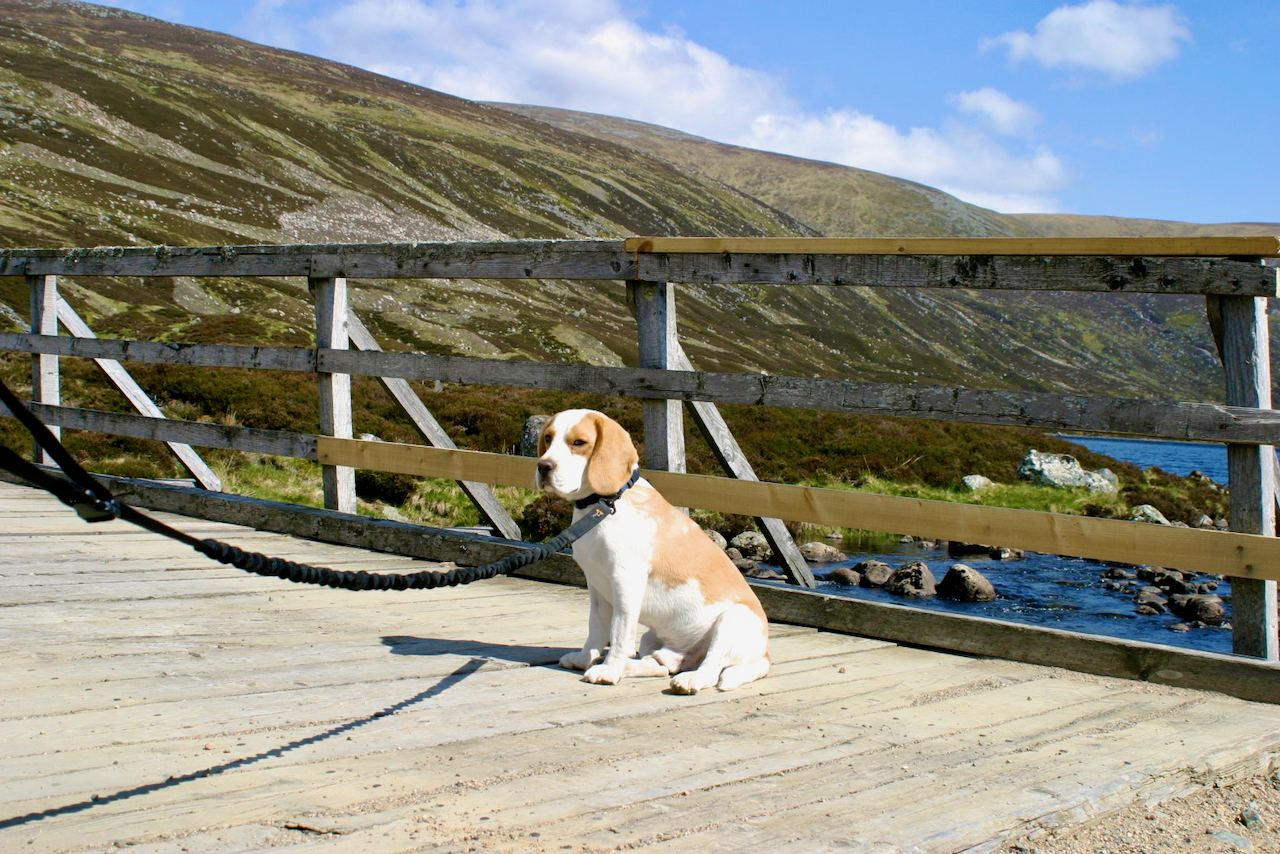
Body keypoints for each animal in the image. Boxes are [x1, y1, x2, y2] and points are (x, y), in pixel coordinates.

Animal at [535, 409, 770, 694]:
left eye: (579, 442)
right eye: (548, 438)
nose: (543, 466)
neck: (602, 505)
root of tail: (765, 655)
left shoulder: (625, 583)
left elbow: (618, 632)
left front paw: (609, 671)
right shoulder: (596, 586)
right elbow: (596, 627)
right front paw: (584, 659)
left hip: (731, 621)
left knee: (711, 669)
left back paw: (688, 679)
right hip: (652, 638)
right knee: (662, 665)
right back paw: (634, 666)